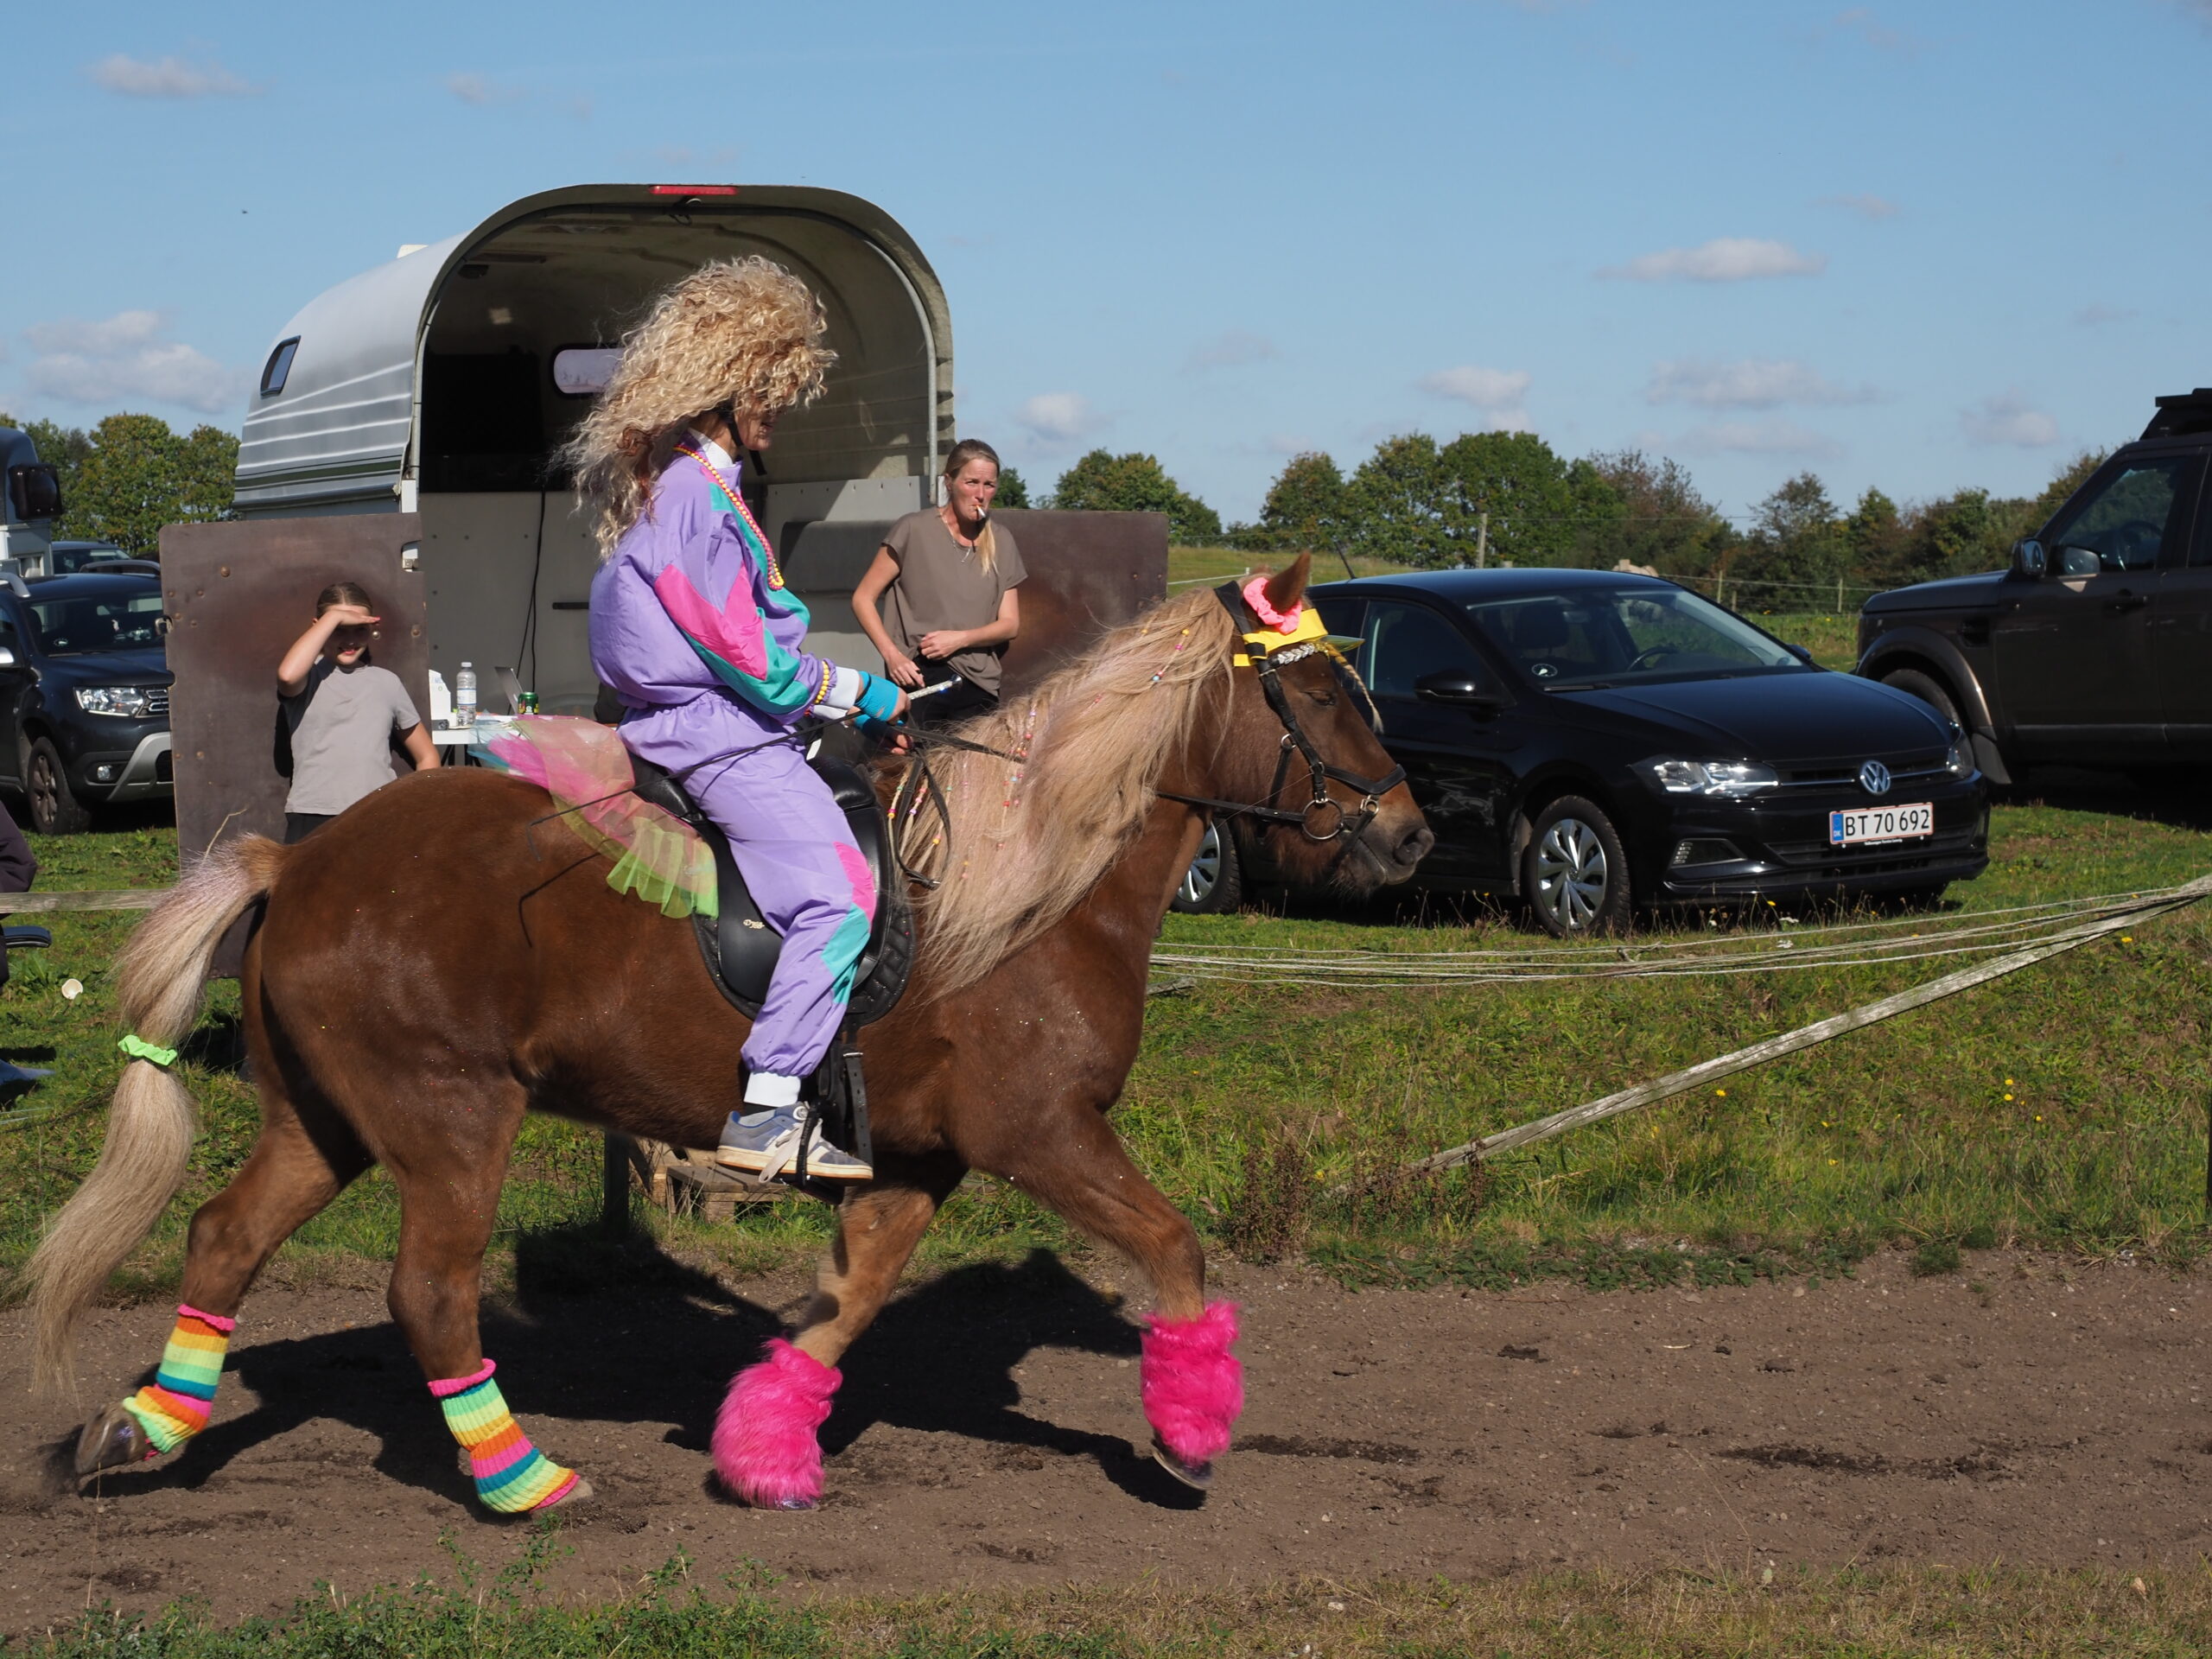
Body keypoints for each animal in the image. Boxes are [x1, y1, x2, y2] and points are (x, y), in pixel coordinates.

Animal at [29, 556, 1432, 1512]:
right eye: (1321, 690)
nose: (1412, 836)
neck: (1030, 883)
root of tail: (299, 860)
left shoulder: (915, 1165)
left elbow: (841, 1310)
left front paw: (761, 1451)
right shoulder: (1041, 1132)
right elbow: (1173, 1247)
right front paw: (1189, 1438)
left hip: (327, 1121)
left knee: (223, 1241)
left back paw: (140, 1433)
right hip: (449, 1119)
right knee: (427, 1292)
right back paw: (523, 1483)